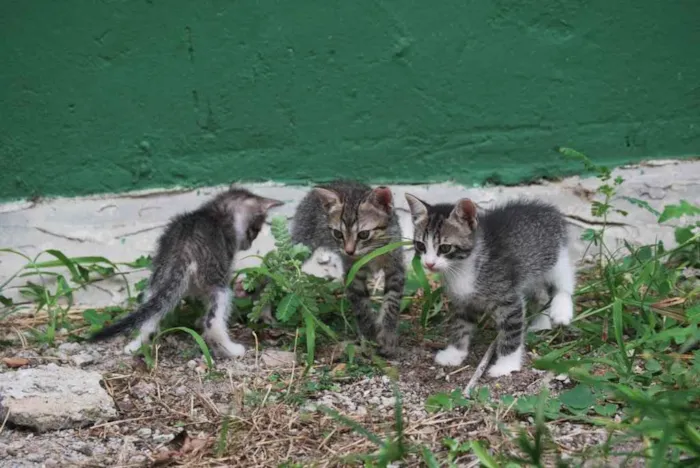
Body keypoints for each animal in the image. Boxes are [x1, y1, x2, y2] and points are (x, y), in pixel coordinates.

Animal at [89, 185, 284, 356]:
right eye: (255, 230)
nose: (249, 245)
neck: (216, 212)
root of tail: (184, 246)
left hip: (159, 276)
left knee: (149, 313)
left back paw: (136, 345)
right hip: (217, 283)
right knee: (213, 322)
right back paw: (232, 350)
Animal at [292, 181, 408, 356]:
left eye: (363, 234)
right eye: (338, 234)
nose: (349, 251)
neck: (371, 252)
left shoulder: (395, 266)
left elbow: (392, 302)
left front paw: (387, 334)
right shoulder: (353, 272)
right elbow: (361, 305)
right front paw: (368, 332)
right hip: (301, 242)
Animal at [404, 196, 576, 378]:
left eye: (445, 247)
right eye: (420, 245)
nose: (429, 264)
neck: (462, 268)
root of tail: (549, 210)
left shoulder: (508, 299)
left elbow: (511, 332)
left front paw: (506, 364)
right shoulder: (463, 301)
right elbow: (461, 325)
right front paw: (455, 353)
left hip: (556, 257)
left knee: (564, 282)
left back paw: (562, 311)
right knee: (542, 295)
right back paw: (541, 324)